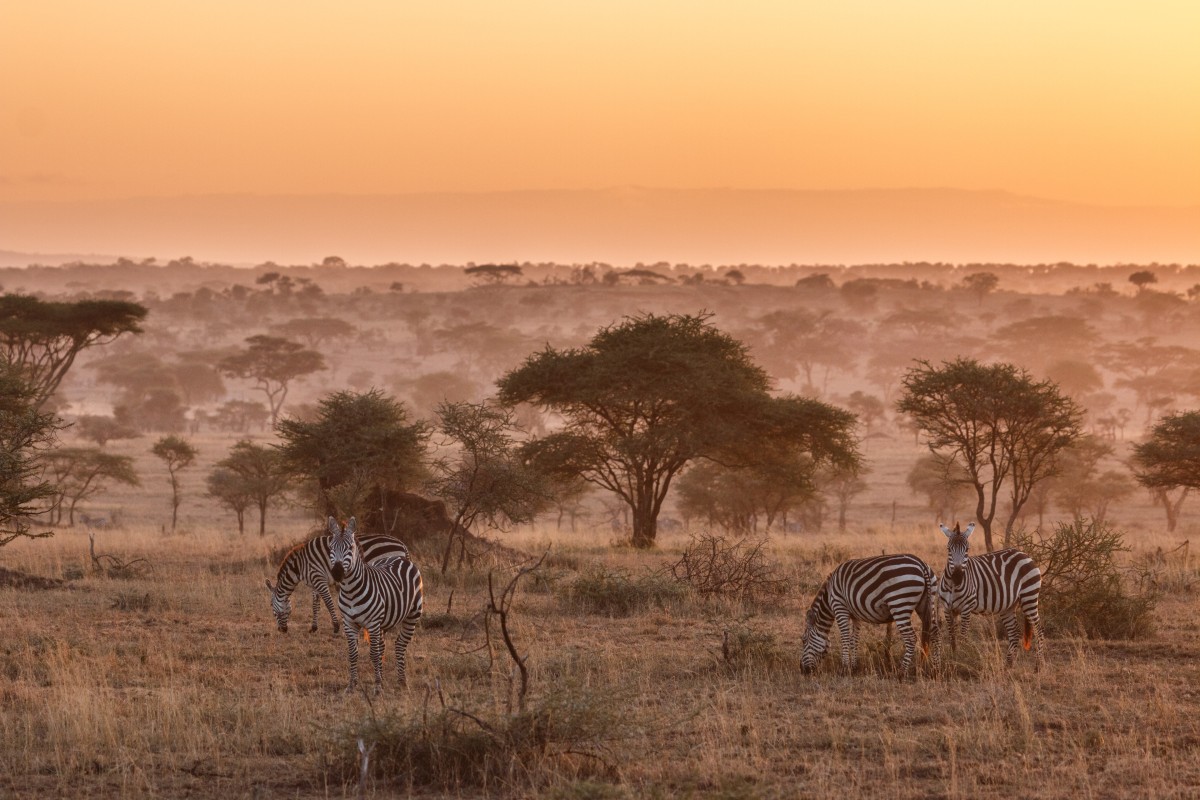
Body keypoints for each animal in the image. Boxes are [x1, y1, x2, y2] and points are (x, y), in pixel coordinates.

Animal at [264, 534, 410, 633]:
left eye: (271, 606)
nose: (282, 630)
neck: (300, 566)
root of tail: (402, 544)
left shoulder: (319, 579)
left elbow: (328, 602)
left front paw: (335, 626)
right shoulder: (314, 583)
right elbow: (315, 604)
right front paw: (314, 627)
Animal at [326, 513, 424, 695]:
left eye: (350, 548)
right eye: (331, 548)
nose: (337, 572)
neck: (350, 591)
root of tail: (400, 557)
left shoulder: (372, 622)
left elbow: (373, 653)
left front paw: (377, 686)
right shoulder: (349, 623)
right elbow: (353, 654)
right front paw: (351, 685)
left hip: (412, 615)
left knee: (399, 645)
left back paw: (402, 682)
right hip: (383, 623)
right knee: (383, 647)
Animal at [801, 554, 940, 681]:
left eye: (803, 640)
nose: (803, 670)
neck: (829, 596)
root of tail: (921, 564)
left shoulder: (840, 607)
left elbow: (845, 638)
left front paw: (844, 669)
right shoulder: (855, 615)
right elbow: (854, 640)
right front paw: (854, 667)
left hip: (899, 603)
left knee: (911, 638)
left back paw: (901, 673)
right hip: (927, 603)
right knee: (934, 633)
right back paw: (935, 671)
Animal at [936, 520, 1041, 671]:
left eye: (967, 549)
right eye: (949, 549)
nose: (957, 576)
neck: (952, 585)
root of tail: (1024, 554)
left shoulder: (966, 608)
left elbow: (963, 637)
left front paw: (960, 660)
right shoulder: (947, 609)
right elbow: (952, 637)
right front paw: (953, 659)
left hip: (1029, 597)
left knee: (1038, 630)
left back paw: (1038, 666)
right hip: (1008, 606)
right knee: (1014, 633)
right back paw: (1008, 665)